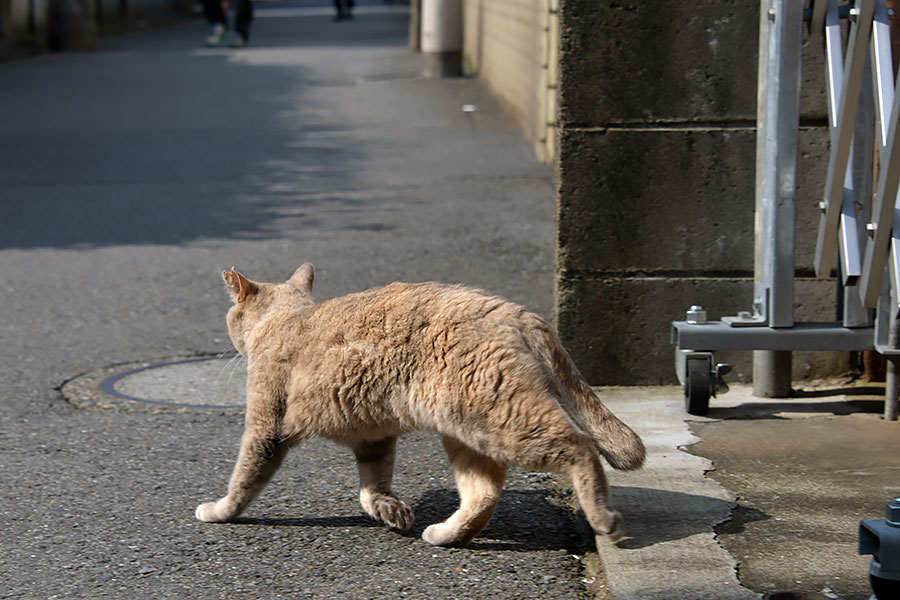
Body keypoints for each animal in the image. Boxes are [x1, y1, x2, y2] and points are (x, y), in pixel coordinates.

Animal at [197, 266, 648, 548]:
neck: (285, 320)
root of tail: (519, 312)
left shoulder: (266, 428)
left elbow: (243, 480)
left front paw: (219, 511)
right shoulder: (374, 437)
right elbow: (373, 484)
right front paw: (388, 509)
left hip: (504, 422)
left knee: (581, 447)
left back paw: (603, 517)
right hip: (465, 432)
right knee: (484, 494)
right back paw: (446, 535)